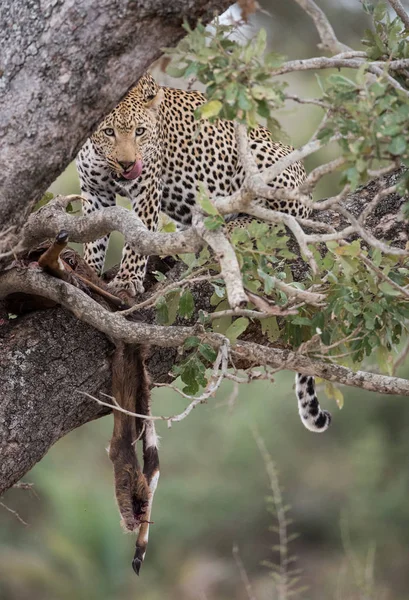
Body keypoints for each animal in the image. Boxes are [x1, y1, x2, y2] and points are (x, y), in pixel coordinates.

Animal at [76, 74, 332, 436]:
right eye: (109, 132)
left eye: (140, 132)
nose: (127, 163)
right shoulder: (94, 191)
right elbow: (93, 238)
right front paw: (88, 269)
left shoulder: (147, 188)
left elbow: (137, 239)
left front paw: (126, 282)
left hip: (261, 157)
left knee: (273, 213)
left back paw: (226, 223)